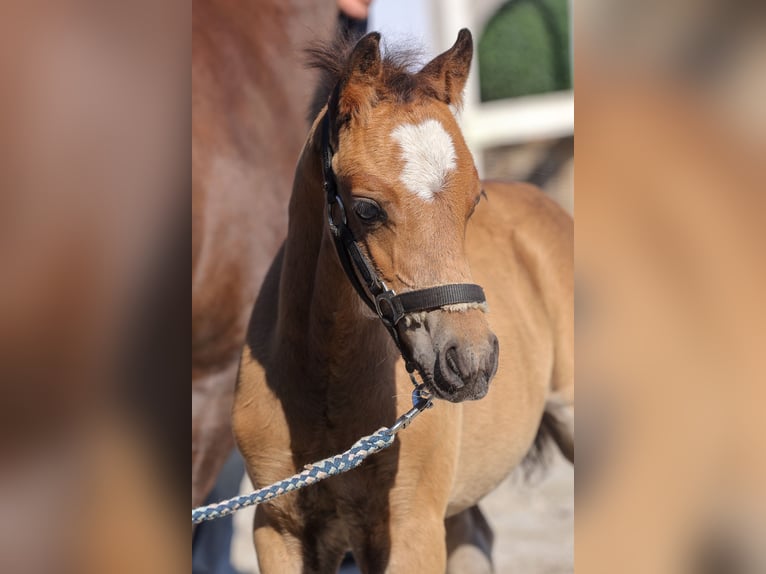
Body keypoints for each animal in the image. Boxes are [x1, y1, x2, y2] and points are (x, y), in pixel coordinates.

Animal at [237, 31, 572, 574]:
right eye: (366, 208)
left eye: (473, 202)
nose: (472, 361)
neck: (322, 383)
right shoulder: (279, 529)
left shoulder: (411, 526)